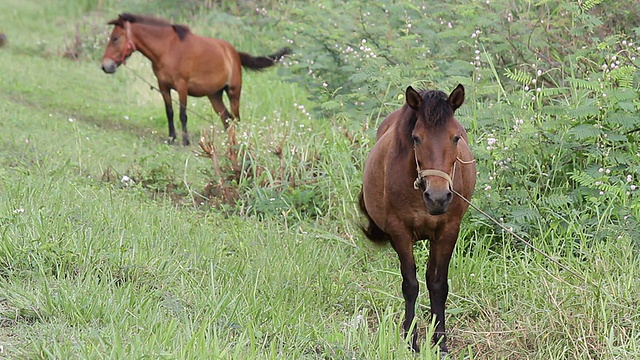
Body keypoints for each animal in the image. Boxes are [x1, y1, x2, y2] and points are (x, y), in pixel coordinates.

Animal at [101, 13, 292, 145]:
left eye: (115, 38)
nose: (105, 66)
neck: (168, 49)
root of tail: (234, 53)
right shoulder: (163, 86)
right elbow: (169, 112)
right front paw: (171, 138)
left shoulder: (182, 86)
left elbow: (182, 114)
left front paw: (185, 141)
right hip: (214, 95)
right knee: (227, 118)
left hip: (233, 92)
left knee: (236, 118)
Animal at [360, 83, 476, 352]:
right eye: (416, 138)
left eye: (455, 137)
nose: (438, 197)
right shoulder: (399, 232)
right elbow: (410, 285)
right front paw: (410, 342)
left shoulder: (448, 231)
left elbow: (438, 284)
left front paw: (440, 344)